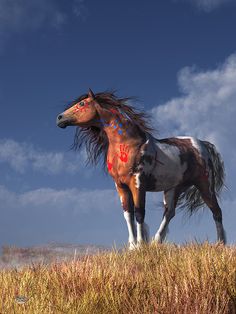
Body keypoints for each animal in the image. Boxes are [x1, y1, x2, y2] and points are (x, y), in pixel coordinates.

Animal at [56, 89, 226, 249]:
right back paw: (156, 242)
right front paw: (132, 246)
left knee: (216, 211)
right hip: (174, 188)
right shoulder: (121, 185)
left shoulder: (138, 183)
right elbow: (128, 214)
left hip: (205, 184)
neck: (129, 143)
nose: (59, 118)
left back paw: (220, 244)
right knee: (169, 213)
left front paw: (140, 245)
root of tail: (203, 144)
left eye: (82, 103)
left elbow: (139, 212)